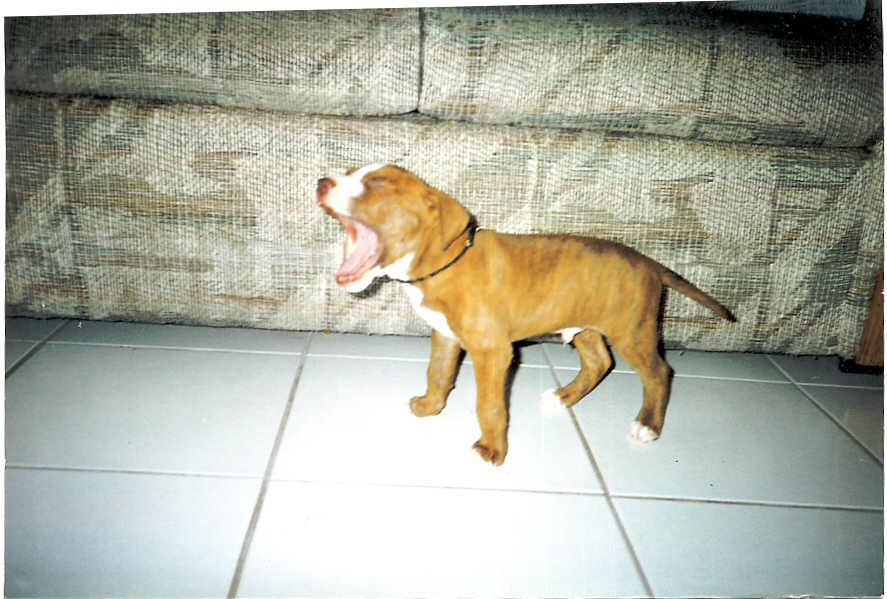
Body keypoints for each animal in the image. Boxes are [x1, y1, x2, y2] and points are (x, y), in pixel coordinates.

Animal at [317, 164, 735, 465]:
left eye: (376, 184)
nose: (321, 182)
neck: (443, 262)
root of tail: (650, 263)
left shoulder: (493, 353)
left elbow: (489, 405)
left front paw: (492, 448)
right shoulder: (446, 336)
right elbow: (438, 373)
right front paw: (430, 406)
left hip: (633, 331)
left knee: (659, 373)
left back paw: (647, 426)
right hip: (586, 327)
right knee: (600, 362)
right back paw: (564, 397)